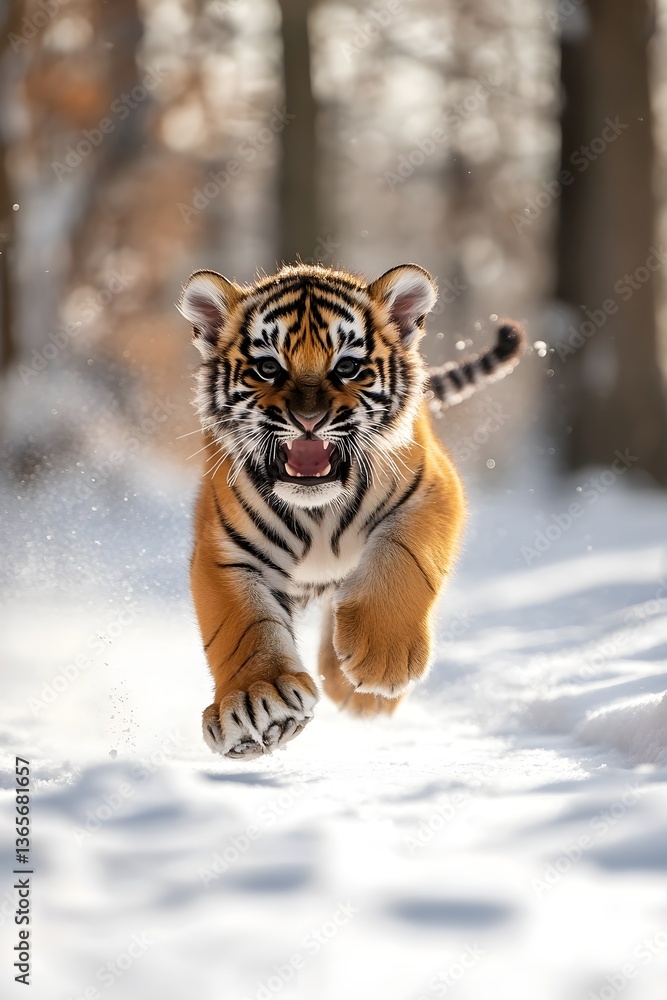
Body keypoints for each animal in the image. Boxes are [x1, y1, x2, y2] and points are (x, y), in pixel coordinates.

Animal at [178, 262, 525, 759]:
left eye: (347, 367)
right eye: (268, 367)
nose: (308, 420)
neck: (318, 510)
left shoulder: (432, 492)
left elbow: (404, 560)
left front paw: (381, 663)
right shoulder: (226, 552)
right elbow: (242, 628)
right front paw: (255, 704)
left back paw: (359, 692)